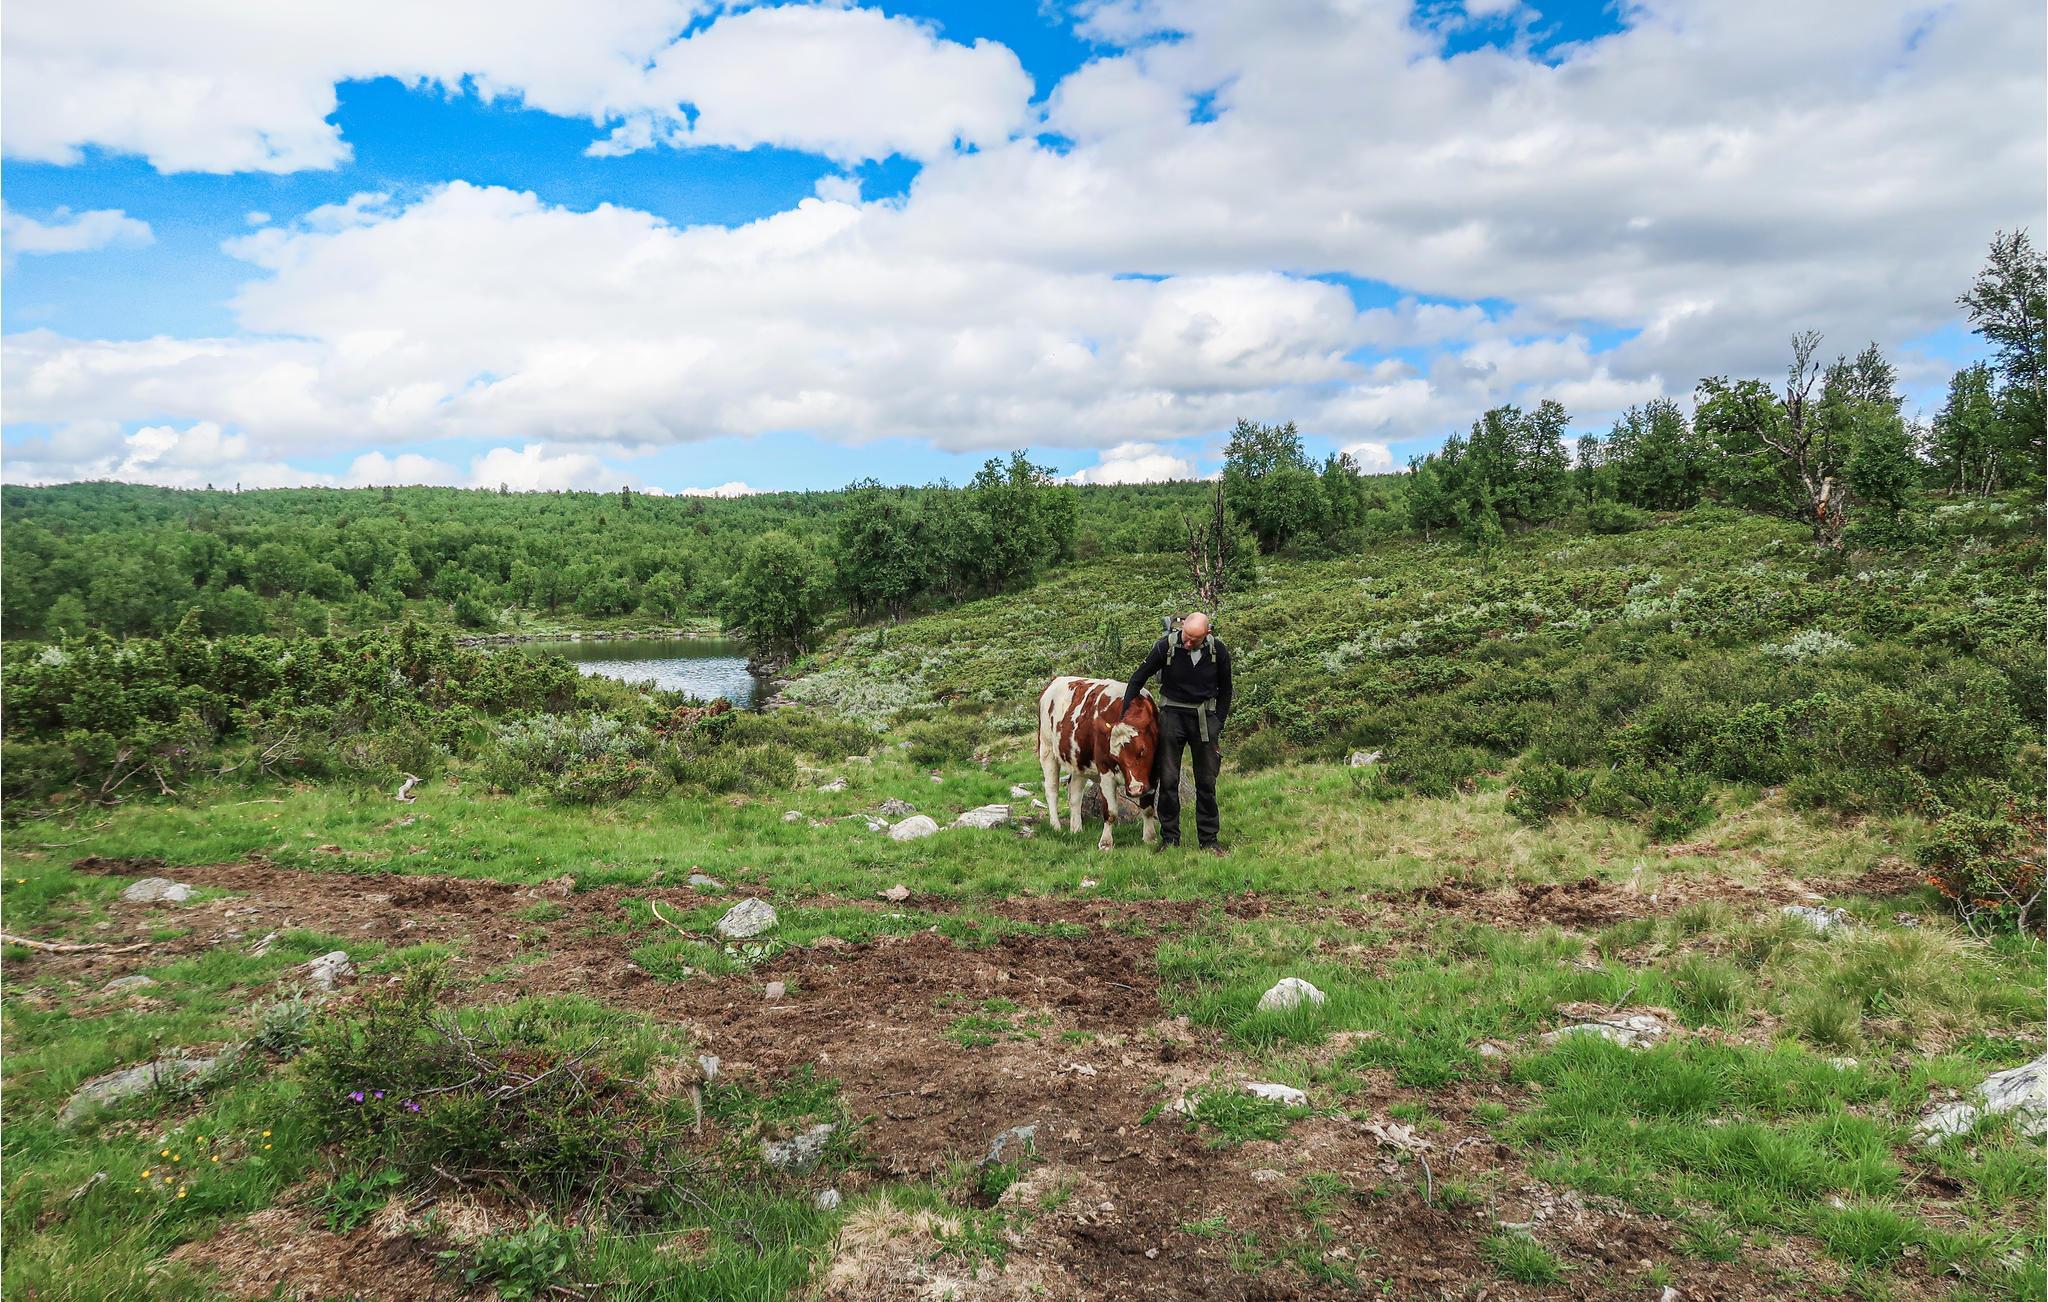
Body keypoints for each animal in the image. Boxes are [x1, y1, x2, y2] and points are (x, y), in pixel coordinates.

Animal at [1036, 676, 1160, 850]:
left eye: (1142, 750)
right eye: (1115, 757)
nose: (1135, 789)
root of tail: (1056, 680)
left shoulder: (1153, 772)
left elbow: (1148, 808)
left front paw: (1150, 838)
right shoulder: (1106, 772)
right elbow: (1111, 812)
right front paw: (1105, 843)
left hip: (1078, 761)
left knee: (1074, 793)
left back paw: (1076, 829)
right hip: (1047, 750)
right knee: (1052, 790)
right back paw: (1056, 826)